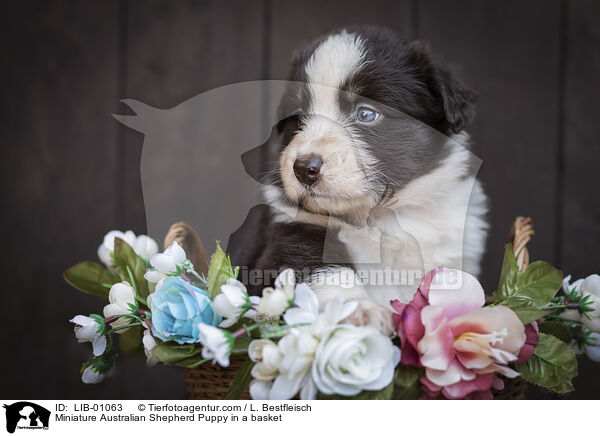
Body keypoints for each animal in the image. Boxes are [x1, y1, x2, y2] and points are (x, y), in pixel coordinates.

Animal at [230, 26, 488, 334]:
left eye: (366, 114)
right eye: (299, 118)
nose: (303, 168)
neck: (378, 217)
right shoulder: (290, 235)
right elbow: (324, 270)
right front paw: (360, 312)